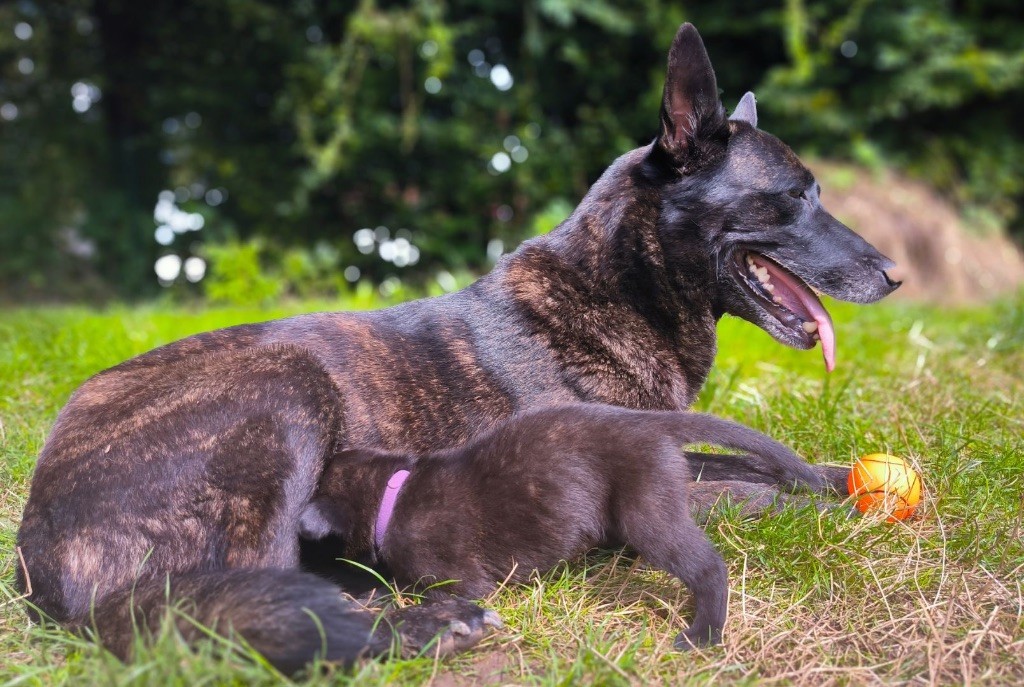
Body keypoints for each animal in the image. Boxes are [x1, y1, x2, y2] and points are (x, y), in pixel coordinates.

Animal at [299, 403, 819, 651]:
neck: (391, 495)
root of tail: (652, 426)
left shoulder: (461, 580)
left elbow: (421, 592)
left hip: (647, 510)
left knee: (708, 567)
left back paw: (703, 635)